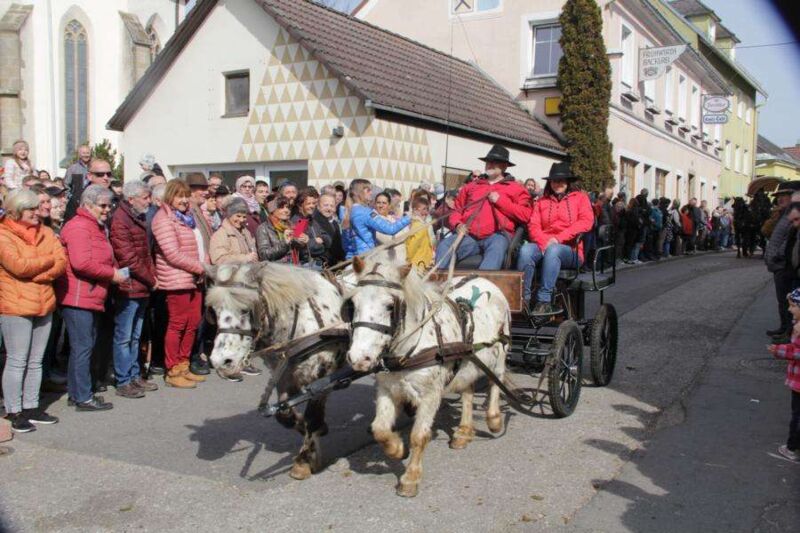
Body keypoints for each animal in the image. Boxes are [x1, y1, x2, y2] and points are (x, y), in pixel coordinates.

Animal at [204, 262, 347, 480]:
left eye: (245, 310)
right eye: (215, 311)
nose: (221, 363)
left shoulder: (322, 376)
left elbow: (312, 417)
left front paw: (304, 461)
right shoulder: (283, 374)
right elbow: (284, 414)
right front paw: (310, 429)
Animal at [345, 256, 511, 497]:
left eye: (390, 306)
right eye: (354, 304)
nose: (360, 358)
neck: (408, 350)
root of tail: (485, 280)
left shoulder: (430, 395)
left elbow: (418, 436)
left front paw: (410, 478)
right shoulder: (386, 389)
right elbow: (380, 429)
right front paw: (397, 449)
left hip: (499, 352)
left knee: (496, 382)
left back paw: (494, 419)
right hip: (467, 362)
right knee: (468, 392)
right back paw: (463, 432)